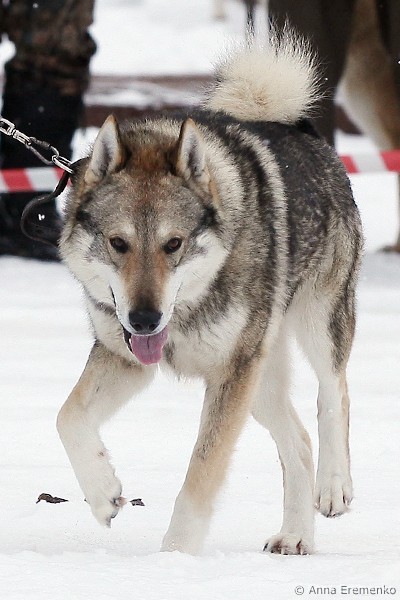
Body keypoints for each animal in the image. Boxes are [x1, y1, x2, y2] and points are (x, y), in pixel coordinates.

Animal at [56, 30, 363, 555]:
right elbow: (68, 417)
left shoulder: (229, 374)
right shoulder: (126, 357)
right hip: (259, 381)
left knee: (334, 394)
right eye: (118, 243)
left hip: (315, 327)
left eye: (173, 244)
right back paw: (295, 536)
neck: (185, 310)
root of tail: (302, 128)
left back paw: (333, 487)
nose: (144, 320)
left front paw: (175, 558)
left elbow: (201, 473)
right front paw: (103, 494)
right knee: (298, 442)